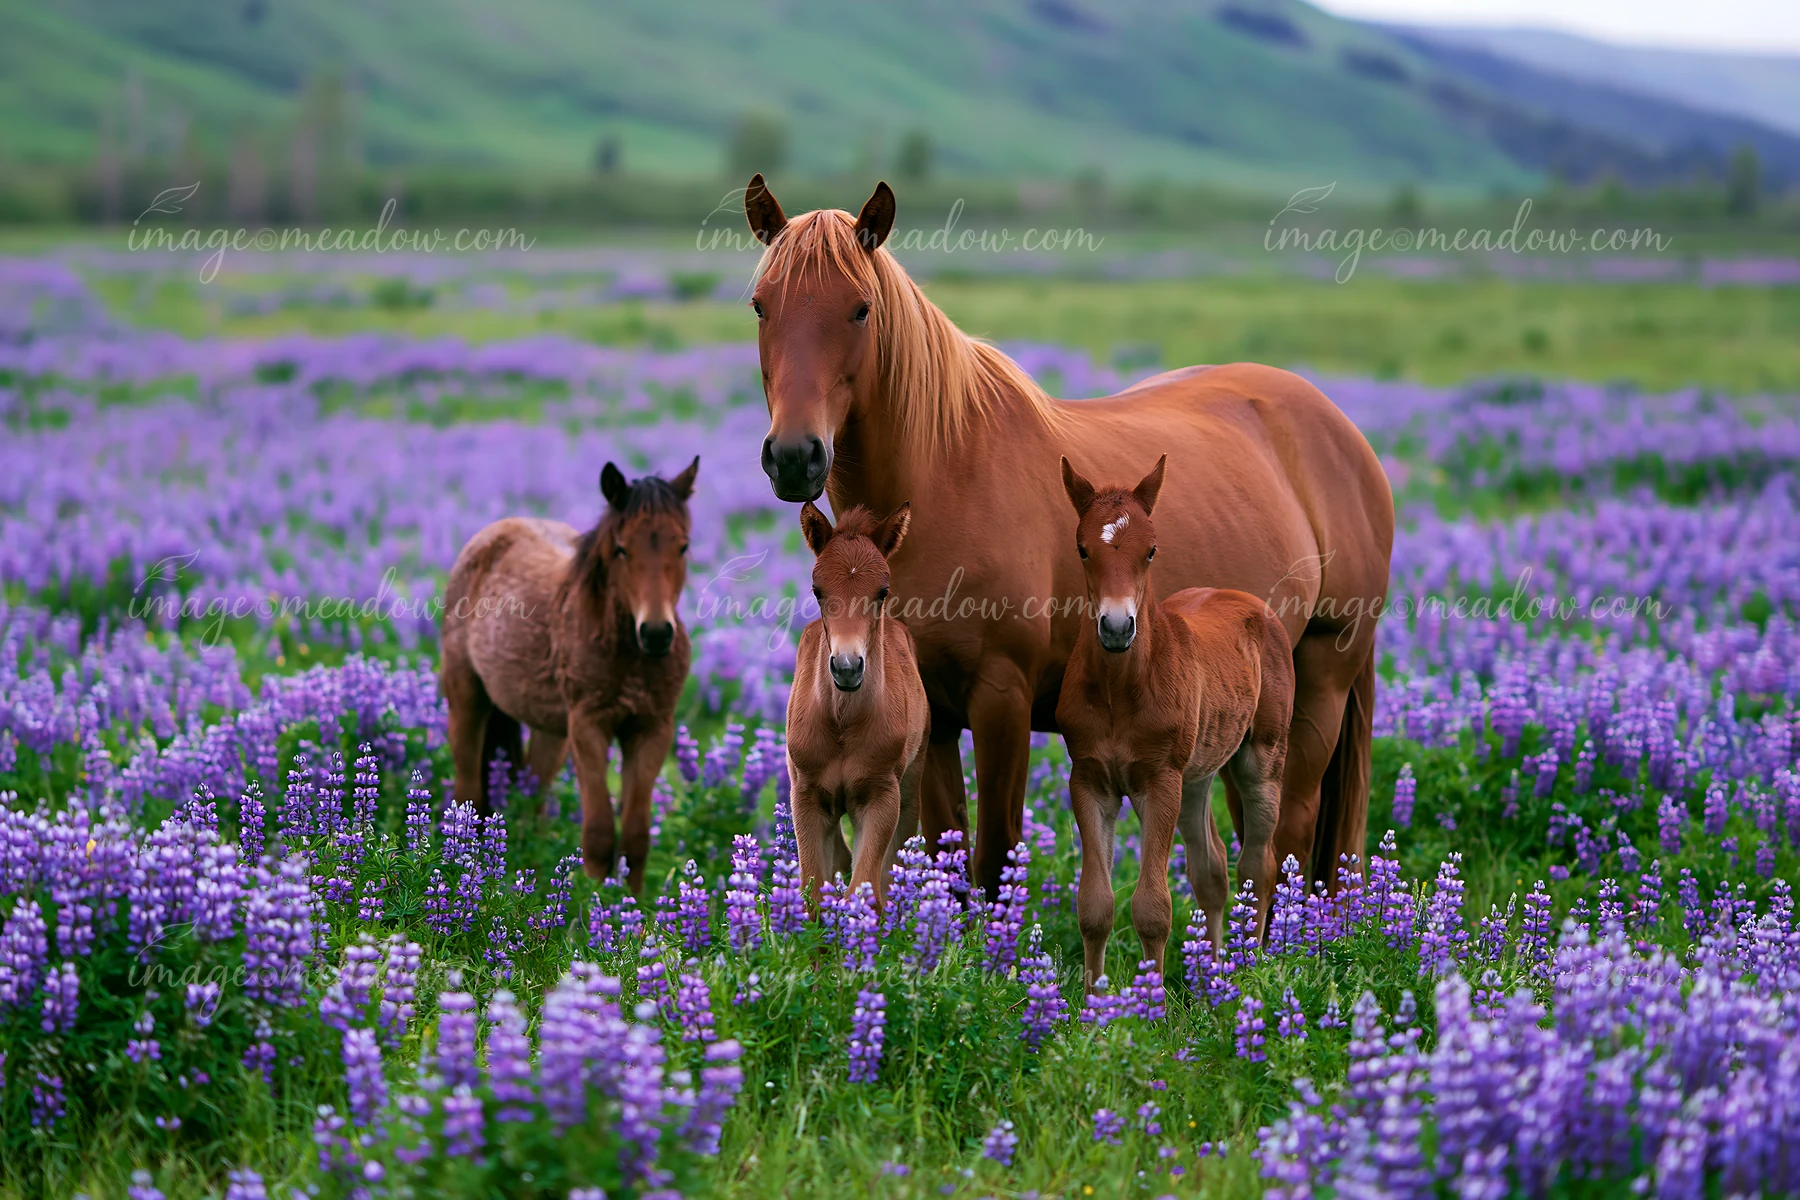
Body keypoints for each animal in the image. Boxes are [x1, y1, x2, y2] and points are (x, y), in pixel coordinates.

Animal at [440, 457, 698, 891]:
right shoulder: (589, 727)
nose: (657, 633)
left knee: (534, 796)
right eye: (621, 549)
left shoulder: (651, 729)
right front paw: (590, 902)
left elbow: (635, 837)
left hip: (550, 730)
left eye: (682, 546)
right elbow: (598, 833)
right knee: (470, 794)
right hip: (467, 700)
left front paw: (631, 905)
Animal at [784, 500, 929, 910]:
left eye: (883, 590)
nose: (847, 667)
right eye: (817, 590)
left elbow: (866, 889)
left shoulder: (881, 796)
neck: (842, 723)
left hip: (910, 785)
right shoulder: (807, 795)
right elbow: (813, 890)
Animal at [1056, 455, 1294, 984]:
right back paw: (1214, 972)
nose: (1116, 627)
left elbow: (1152, 907)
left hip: (1262, 758)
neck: (1119, 690)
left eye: (1150, 550)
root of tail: (1250, 601)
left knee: (1258, 864)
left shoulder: (1160, 779)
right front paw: (1091, 999)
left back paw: (1249, 969)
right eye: (1082, 549)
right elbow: (1094, 903)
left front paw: (1153, 1001)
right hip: (1198, 774)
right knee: (1213, 868)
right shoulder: (1090, 779)